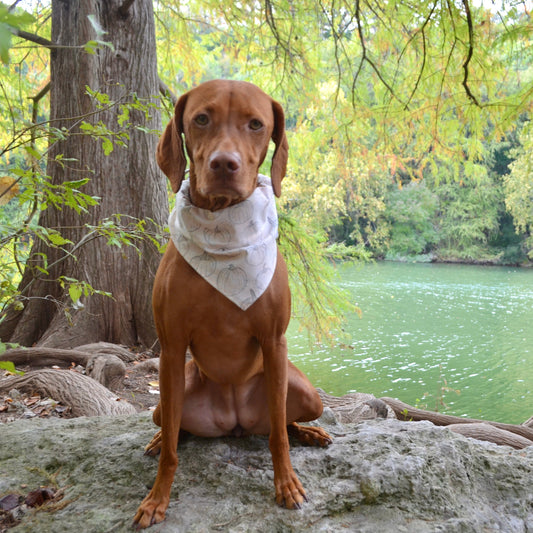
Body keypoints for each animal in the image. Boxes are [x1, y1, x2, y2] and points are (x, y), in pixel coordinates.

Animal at [133, 79, 330, 528]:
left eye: (256, 124)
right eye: (201, 119)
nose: (225, 164)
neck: (224, 239)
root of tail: (235, 422)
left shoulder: (274, 342)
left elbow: (278, 436)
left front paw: (286, 485)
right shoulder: (171, 348)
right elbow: (173, 451)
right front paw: (157, 499)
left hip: (305, 392)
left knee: (281, 423)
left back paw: (308, 432)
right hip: (169, 396)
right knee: (173, 425)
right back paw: (159, 437)